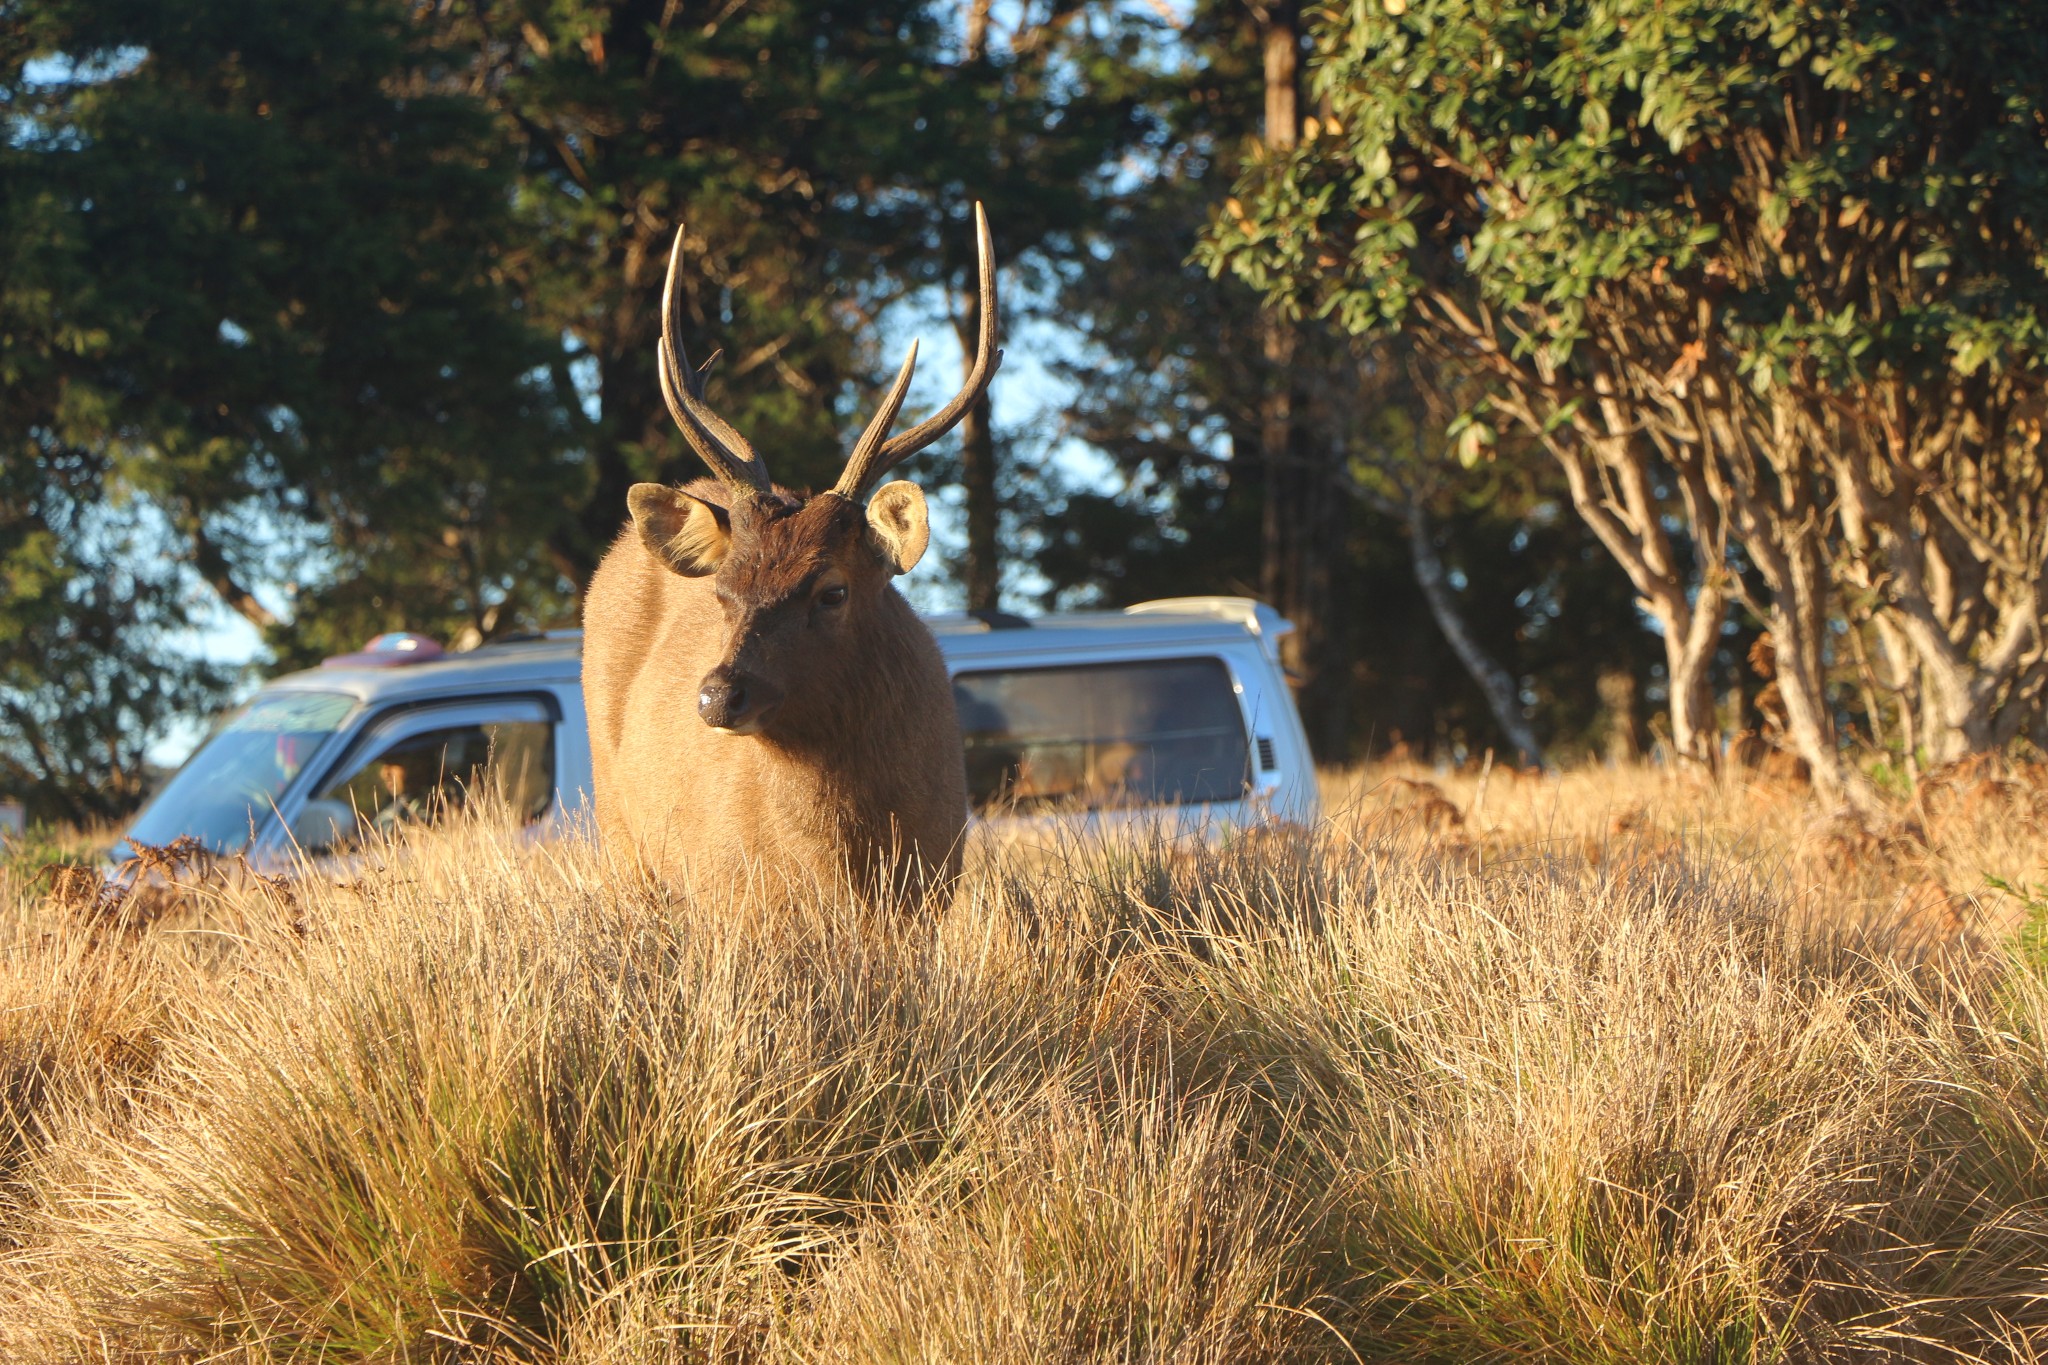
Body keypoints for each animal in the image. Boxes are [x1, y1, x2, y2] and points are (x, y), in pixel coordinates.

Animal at [577, 205, 999, 908]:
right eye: (722, 593)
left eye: (833, 590)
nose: (718, 698)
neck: (844, 861)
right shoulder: (730, 892)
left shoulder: (935, 878)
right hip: (619, 831)